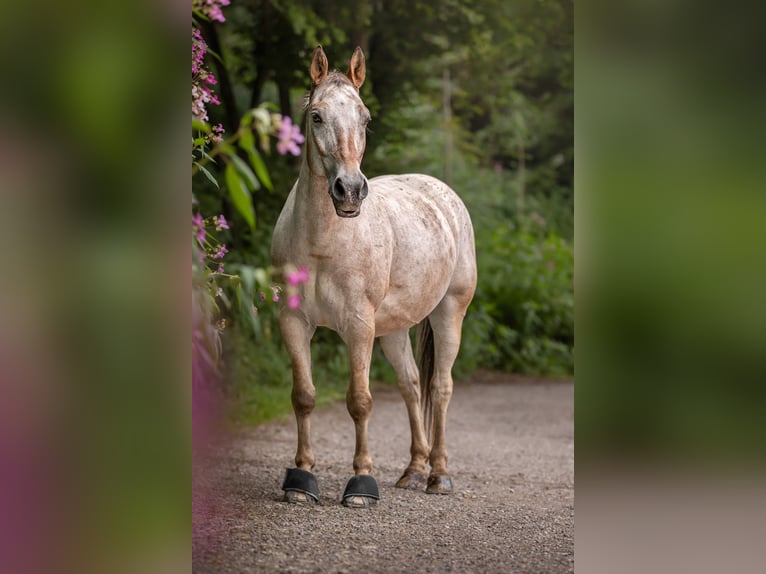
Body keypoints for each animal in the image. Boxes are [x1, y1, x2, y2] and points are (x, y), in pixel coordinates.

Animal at [268, 47, 474, 510]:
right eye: (316, 116)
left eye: (365, 118)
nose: (349, 190)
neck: (323, 243)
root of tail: (441, 192)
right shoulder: (293, 322)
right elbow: (302, 396)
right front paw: (301, 479)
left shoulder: (358, 326)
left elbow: (360, 401)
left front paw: (361, 482)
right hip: (394, 329)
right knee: (412, 385)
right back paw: (412, 471)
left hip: (449, 313)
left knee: (441, 387)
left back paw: (438, 475)